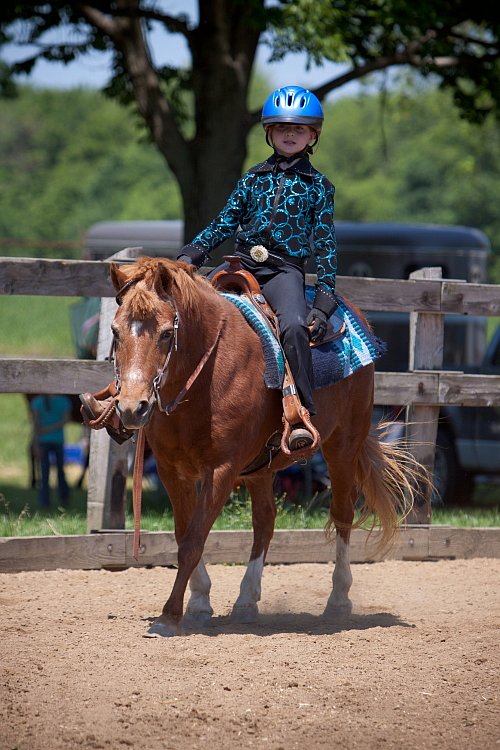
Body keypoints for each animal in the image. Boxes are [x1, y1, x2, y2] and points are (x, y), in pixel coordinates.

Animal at [108, 258, 422, 640]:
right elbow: (183, 535)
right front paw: (199, 603)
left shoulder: (222, 469)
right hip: (260, 469)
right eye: (115, 332)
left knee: (342, 514)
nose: (131, 408)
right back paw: (247, 601)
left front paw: (170, 616)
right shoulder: (172, 470)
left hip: (343, 446)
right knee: (265, 521)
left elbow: (194, 540)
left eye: (167, 333)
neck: (204, 378)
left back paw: (338, 600)